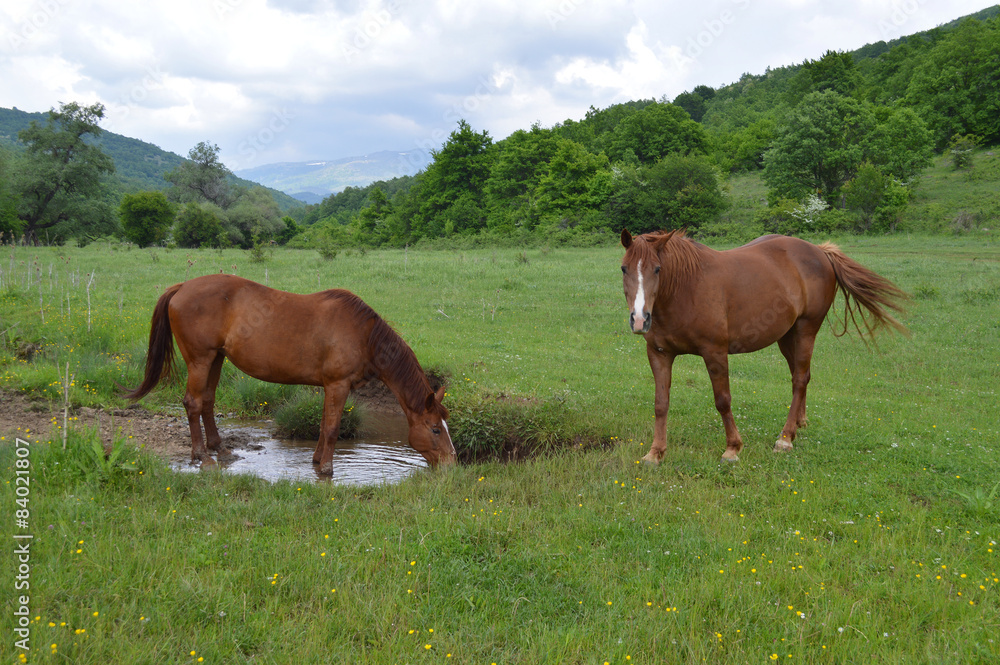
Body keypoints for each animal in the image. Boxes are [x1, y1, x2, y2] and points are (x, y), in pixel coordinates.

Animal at [125, 274, 458, 472]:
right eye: (435, 429)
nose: (452, 463)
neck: (364, 335)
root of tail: (182, 287)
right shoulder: (338, 385)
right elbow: (333, 428)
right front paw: (326, 469)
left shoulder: (329, 387)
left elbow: (323, 425)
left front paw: (316, 460)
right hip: (200, 360)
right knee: (193, 403)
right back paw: (202, 457)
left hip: (216, 359)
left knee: (207, 401)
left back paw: (220, 449)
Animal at [616, 231, 908, 464]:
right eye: (623, 268)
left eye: (657, 269)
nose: (640, 319)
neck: (684, 289)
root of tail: (819, 252)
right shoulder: (659, 354)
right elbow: (660, 403)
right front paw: (655, 453)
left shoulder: (715, 352)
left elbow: (722, 401)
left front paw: (733, 448)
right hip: (787, 336)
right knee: (801, 376)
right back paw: (799, 424)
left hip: (806, 330)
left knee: (799, 379)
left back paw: (785, 438)